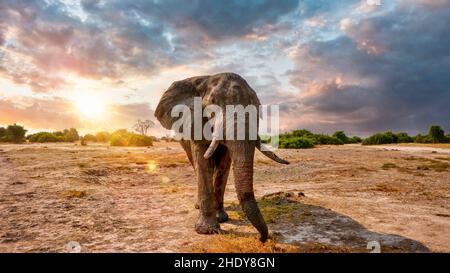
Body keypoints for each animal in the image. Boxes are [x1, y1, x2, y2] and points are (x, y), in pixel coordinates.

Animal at [155, 73, 288, 242]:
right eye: (213, 104)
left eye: (257, 108)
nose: (262, 239)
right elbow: (202, 160)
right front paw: (206, 231)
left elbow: (223, 165)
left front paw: (221, 219)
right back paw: (198, 206)